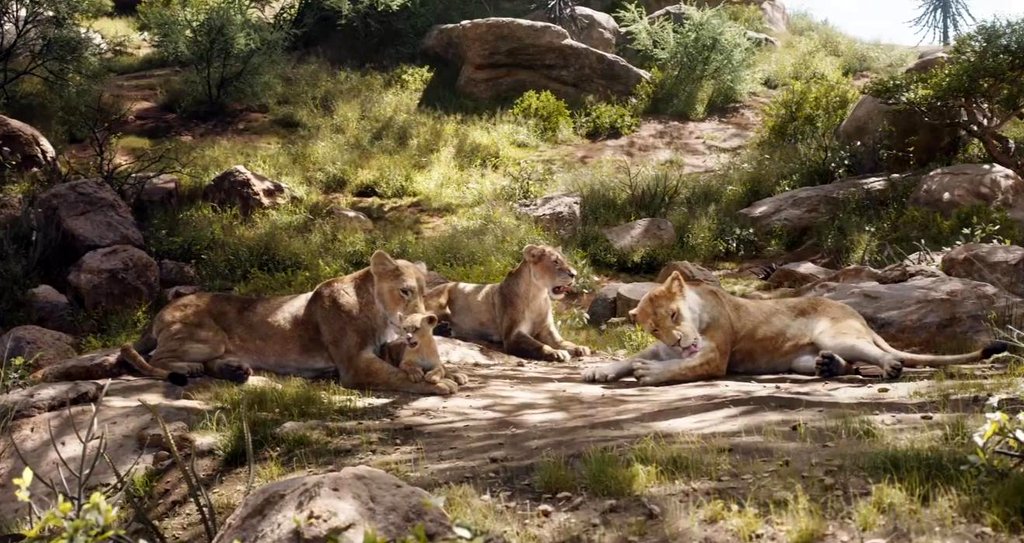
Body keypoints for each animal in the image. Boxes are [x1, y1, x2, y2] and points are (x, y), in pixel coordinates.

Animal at [117, 250, 462, 395]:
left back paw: (236, 370)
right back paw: (187, 368)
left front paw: (451, 373)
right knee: (151, 357)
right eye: (405, 291)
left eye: (424, 292)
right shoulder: (354, 365)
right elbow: (397, 376)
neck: (377, 313)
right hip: (207, 338)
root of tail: (162, 310)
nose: (421, 319)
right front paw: (438, 383)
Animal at [425, 244, 591, 362]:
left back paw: (446, 329)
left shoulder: (548, 330)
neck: (538, 295)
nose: (574, 274)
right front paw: (556, 352)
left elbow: (564, 342)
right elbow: (538, 345)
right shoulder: (512, 335)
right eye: (555, 262)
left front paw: (579, 348)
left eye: (565, 260)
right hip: (438, 301)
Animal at [583, 271, 1008, 386]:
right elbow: (632, 356)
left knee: (880, 354)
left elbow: (676, 368)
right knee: (847, 364)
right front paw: (599, 370)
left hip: (836, 334)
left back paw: (890, 368)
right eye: (654, 329)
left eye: (674, 315)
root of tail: (855, 312)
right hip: (800, 358)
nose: (679, 339)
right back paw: (828, 367)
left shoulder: (714, 357)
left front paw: (648, 373)